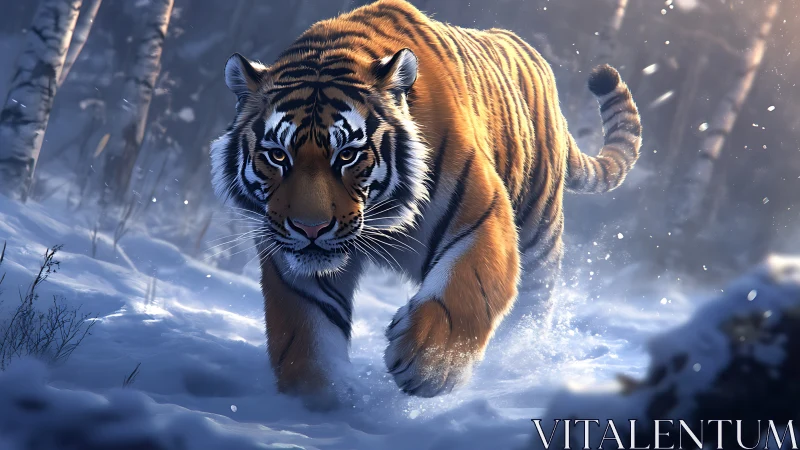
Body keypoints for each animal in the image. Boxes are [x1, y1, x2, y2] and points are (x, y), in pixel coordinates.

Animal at [210, 0, 641, 406]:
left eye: (347, 155)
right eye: (277, 156)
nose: (310, 228)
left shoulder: (484, 215)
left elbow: (469, 289)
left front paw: (429, 366)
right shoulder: (290, 258)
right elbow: (305, 333)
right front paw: (319, 399)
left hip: (539, 231)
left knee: (534, 305)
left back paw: (515, 364)